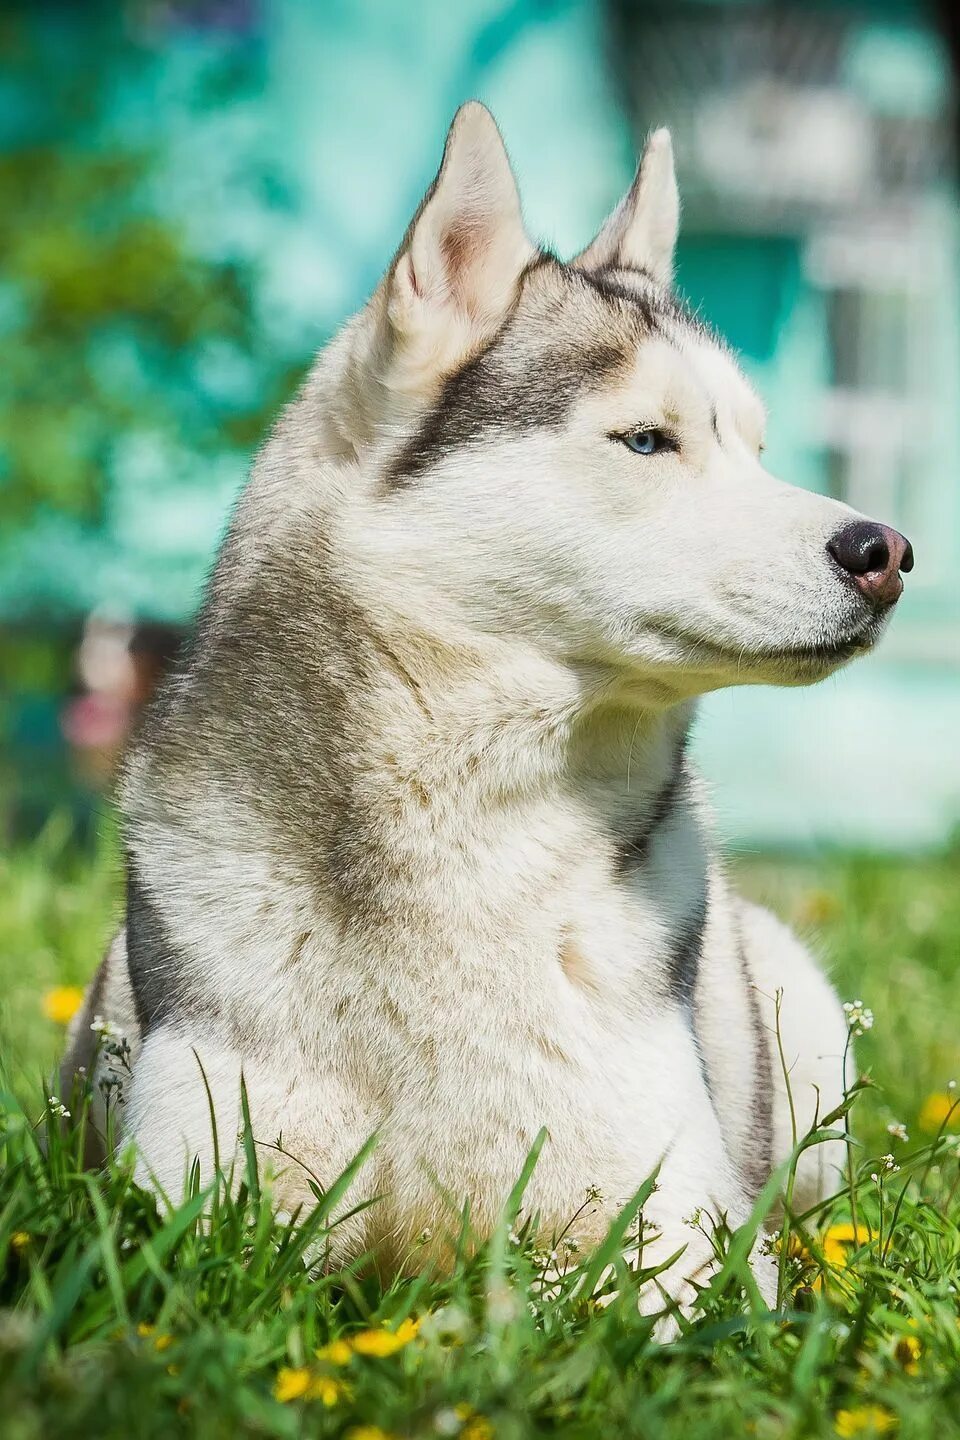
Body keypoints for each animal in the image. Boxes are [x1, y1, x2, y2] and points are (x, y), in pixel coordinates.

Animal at [65, 104, 915, 1319]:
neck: (463, 837)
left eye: (756, 448)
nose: (886, 551)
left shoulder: (687, 1241)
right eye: (647, 440)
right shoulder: (171, 1230)